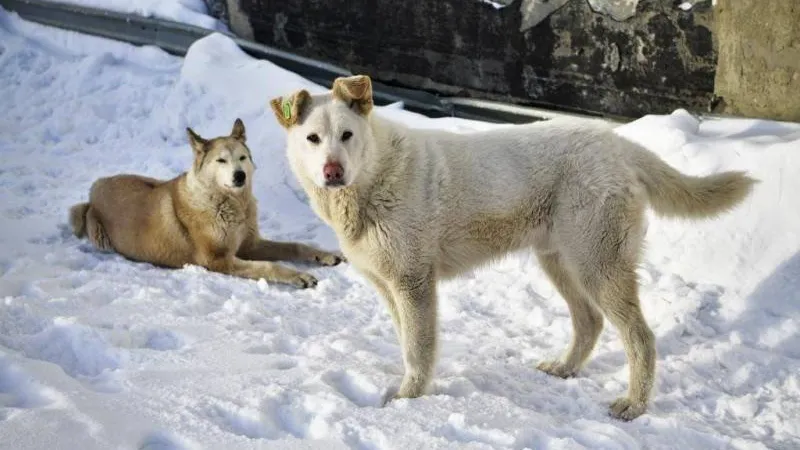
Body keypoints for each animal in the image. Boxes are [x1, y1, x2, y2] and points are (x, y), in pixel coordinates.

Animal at [268, 75, 756, 420]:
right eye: (313, 139)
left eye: (347, 135)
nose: (332, 172)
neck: (374, 177)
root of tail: (617, 143)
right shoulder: (391, 288)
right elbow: (408, 344)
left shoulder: (413, 284)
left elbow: (418, 349)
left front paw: (409, 398)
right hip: (560, 262)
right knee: (590, 323)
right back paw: (565, 368)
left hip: (597, 264)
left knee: (640, 337)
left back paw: (634, 405)